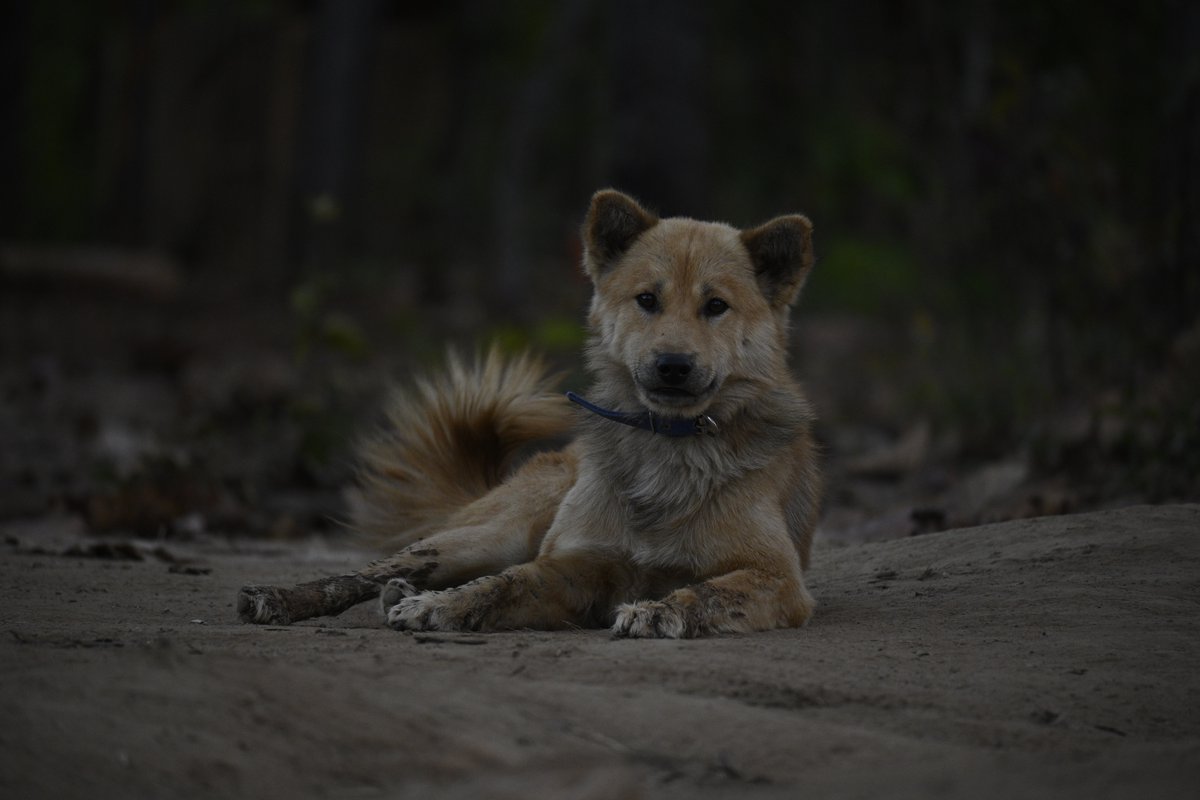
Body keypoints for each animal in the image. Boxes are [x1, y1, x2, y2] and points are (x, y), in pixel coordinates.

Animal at [238, 190, 820, 642]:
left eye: (716, 306)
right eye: (647, 300)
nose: (672, 366)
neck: (666, 444)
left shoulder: (779, 578)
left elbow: (707, 591)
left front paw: (660, 610)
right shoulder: (571, 563)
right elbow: (504, 583)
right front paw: (439, 607)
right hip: (485, 536)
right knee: (366, 574)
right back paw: (287, 597)